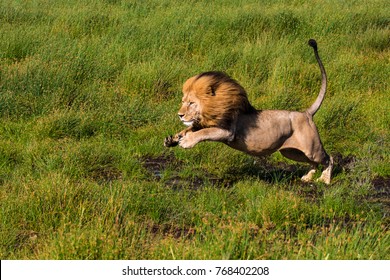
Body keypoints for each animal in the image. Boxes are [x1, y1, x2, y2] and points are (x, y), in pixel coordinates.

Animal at [164, 38, 332, 184]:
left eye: (191, 103)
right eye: (183, 102)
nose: (180, 115)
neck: (213, 109)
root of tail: (307, 113)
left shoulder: (227, 132)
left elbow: (203, 132)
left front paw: (186, 141)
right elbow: (192, 128)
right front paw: (173, 139)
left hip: (311, 148)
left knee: (328, 158)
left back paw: (325, 180)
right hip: (291, 152)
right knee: (314, 163)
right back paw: (308, 178)